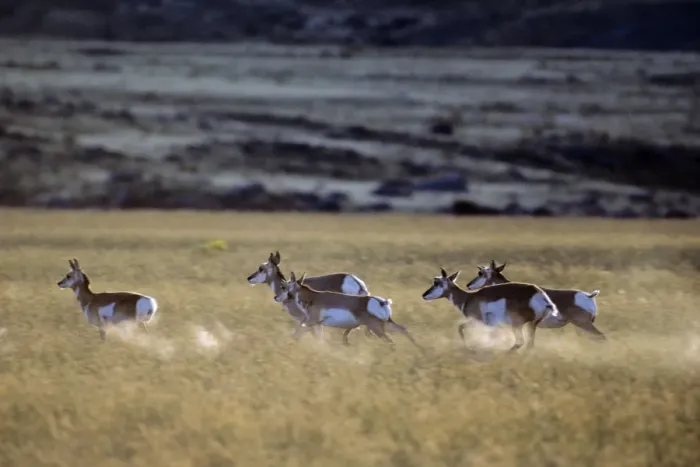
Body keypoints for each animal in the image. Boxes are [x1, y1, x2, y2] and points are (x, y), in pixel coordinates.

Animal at [275, 271, 423, 352]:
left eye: (284, 286)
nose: (276, 297)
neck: (312, 297)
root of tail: (381, 301)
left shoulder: (311, 322)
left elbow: (296, 334)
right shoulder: (316, 324)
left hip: (377, 329)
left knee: (392, 341)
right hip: (386, 325)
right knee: (403, 330)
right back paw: (419, 349)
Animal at [422, 267, 560, 353]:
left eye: (437, 283)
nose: (424, 295)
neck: (469, 297)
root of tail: (540, 294)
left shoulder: (476, 321)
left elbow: (460, 328)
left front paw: (470, 348)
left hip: (517, 325)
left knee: (520, 342)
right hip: (531, 325)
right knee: (529, 345)